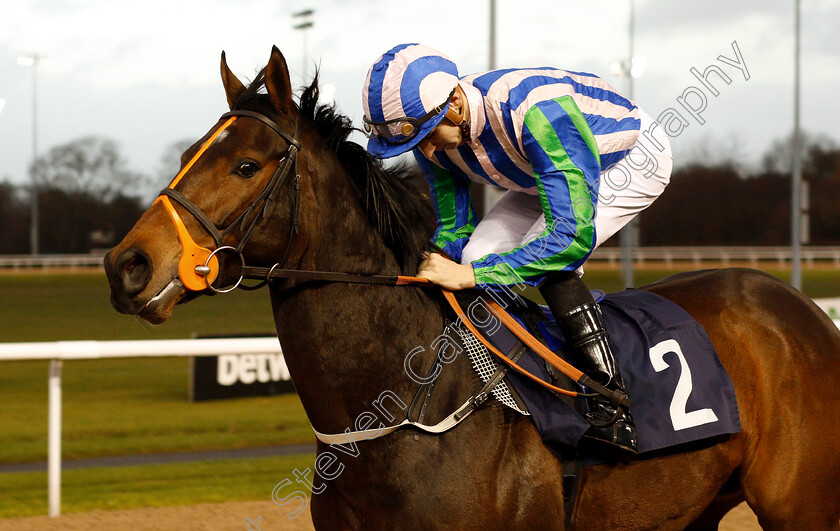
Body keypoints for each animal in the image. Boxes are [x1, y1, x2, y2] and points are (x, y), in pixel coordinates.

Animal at [103, 47, 840, 528]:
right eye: (186, 155)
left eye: (246, 165)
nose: (126, 265)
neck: (401, 407)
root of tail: (802, 307)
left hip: (800, 506)